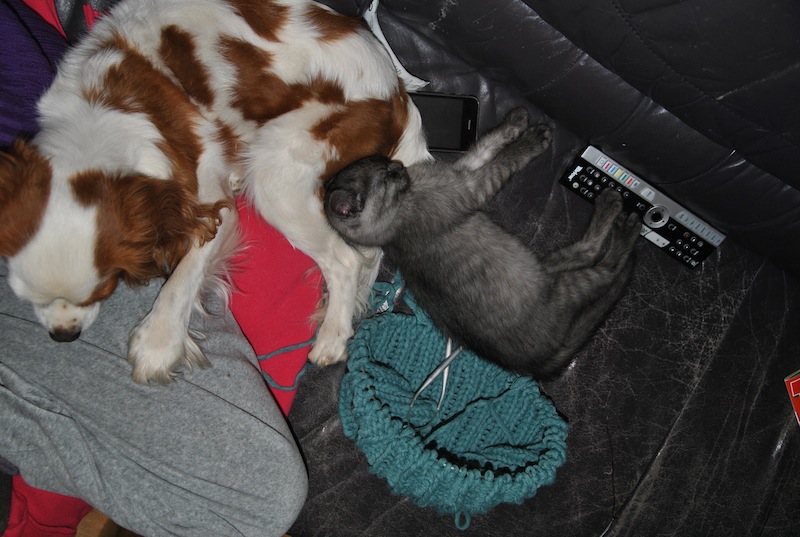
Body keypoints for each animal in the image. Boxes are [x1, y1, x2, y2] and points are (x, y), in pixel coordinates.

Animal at [0, 0, 430, 383]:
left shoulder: (207, 203)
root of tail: (398, 95)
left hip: (276, 171)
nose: (63, 335)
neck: (103, 113)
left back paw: (331, 341)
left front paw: (158, 344)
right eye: (26, 298)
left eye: (105, 289)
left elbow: (182, 278)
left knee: (346, 261)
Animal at [324, 108, 640, 378]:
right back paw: (620, 217)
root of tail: (537, 363)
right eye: (386, 176)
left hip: (543, 263)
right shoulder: (473, 187)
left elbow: (485, 146)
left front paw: (516, 121)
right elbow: (506, 159)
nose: (399, 168)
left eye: (389, 165)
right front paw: (533, 140)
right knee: (606, 266)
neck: (398, 212)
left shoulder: (462, 172)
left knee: (582, 253)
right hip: (566, 285)